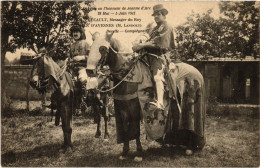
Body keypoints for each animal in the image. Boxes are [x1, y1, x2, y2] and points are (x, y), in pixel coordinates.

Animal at [86, 33, 206, 161]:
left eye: (103, 48)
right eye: (90, 48)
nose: (90, 71)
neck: (128, 75)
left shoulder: (134, 107)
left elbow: (135, 129)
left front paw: (139, 153)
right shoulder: (123, 108)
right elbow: (126, 128)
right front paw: (125, 152)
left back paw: (189, 148)